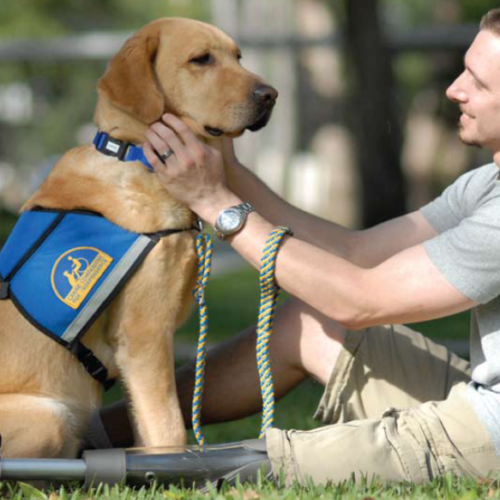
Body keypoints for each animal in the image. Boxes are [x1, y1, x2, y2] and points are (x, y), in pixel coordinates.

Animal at [0, 18, 278, 458]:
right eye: (202, 59)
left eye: (238, 57)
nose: (271, 95)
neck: (136, 156)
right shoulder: (145, 335)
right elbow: (169, 430)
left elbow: (151, 430)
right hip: (51, 415)